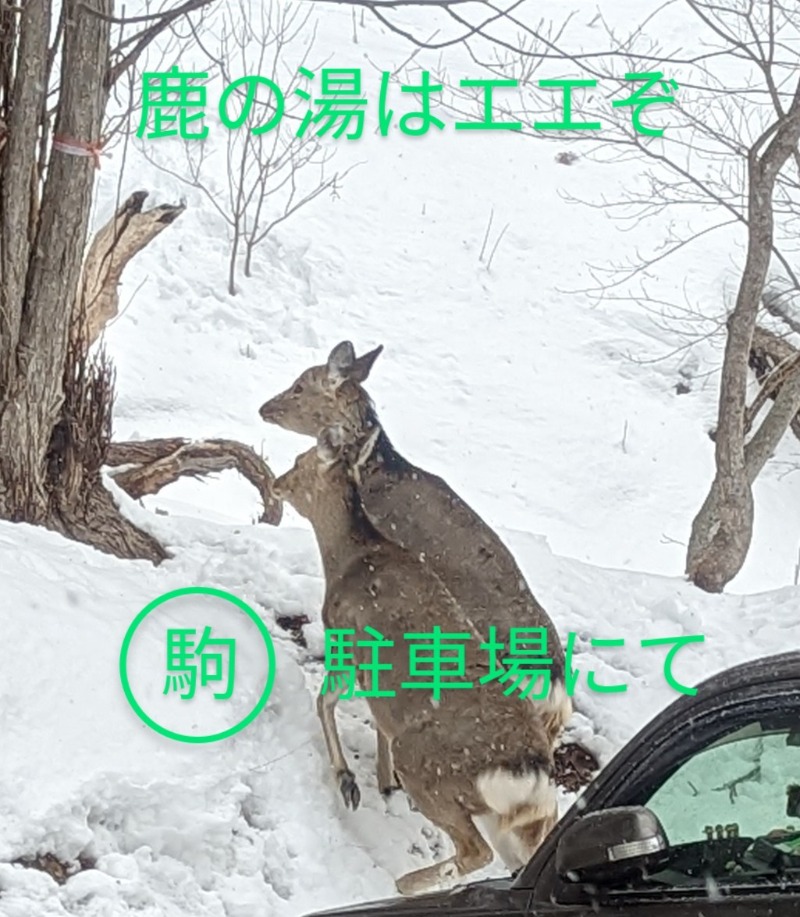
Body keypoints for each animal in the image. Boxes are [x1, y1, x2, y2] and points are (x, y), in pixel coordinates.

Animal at [272, 428, 560, 896]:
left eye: (301, 460)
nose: (277, 483)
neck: (349, 559)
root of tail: (529, 774)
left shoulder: (343, 635)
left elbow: (324, 701)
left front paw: (348, 782)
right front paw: (376, 781)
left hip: (429, 769)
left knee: (474, 851)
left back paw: (404, 884)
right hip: (520, 819)